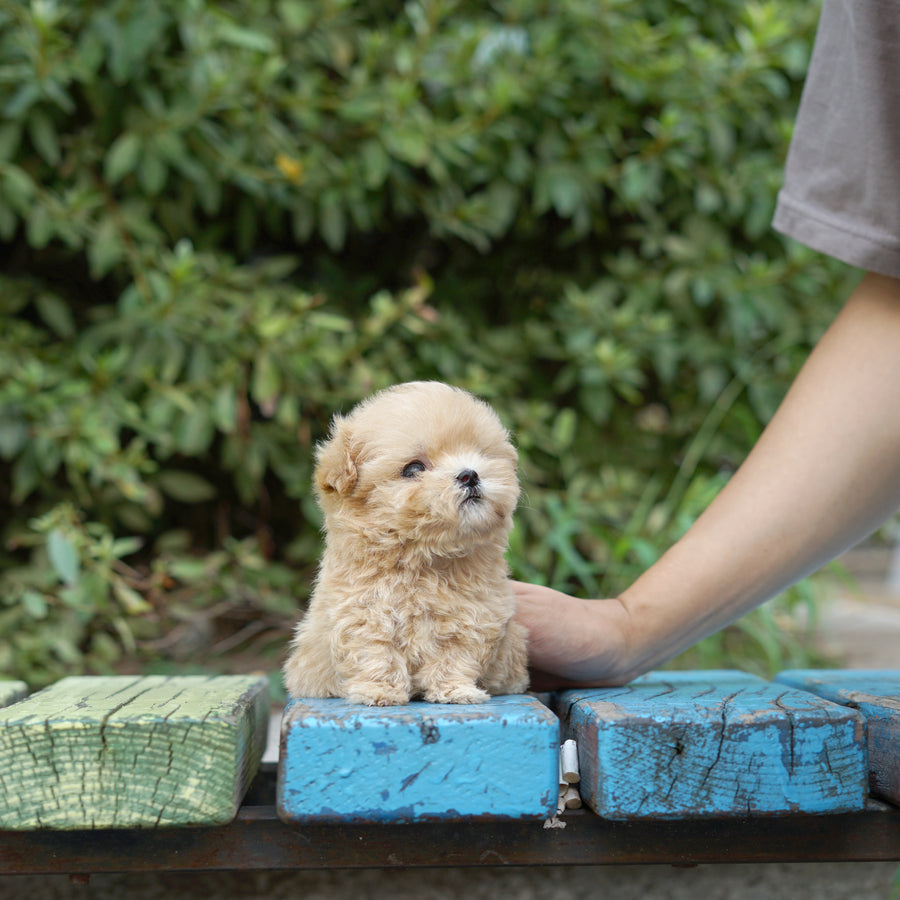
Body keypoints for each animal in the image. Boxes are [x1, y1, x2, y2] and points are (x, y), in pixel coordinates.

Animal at [284, 380, 532, 704]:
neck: (426, 562)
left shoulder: (475, 616)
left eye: (480, 454)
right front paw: (379, 691)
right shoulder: (364, 613)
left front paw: (455, 690)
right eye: (413, 469)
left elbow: (455, 655)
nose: (470, 474)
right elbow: (376, 652)